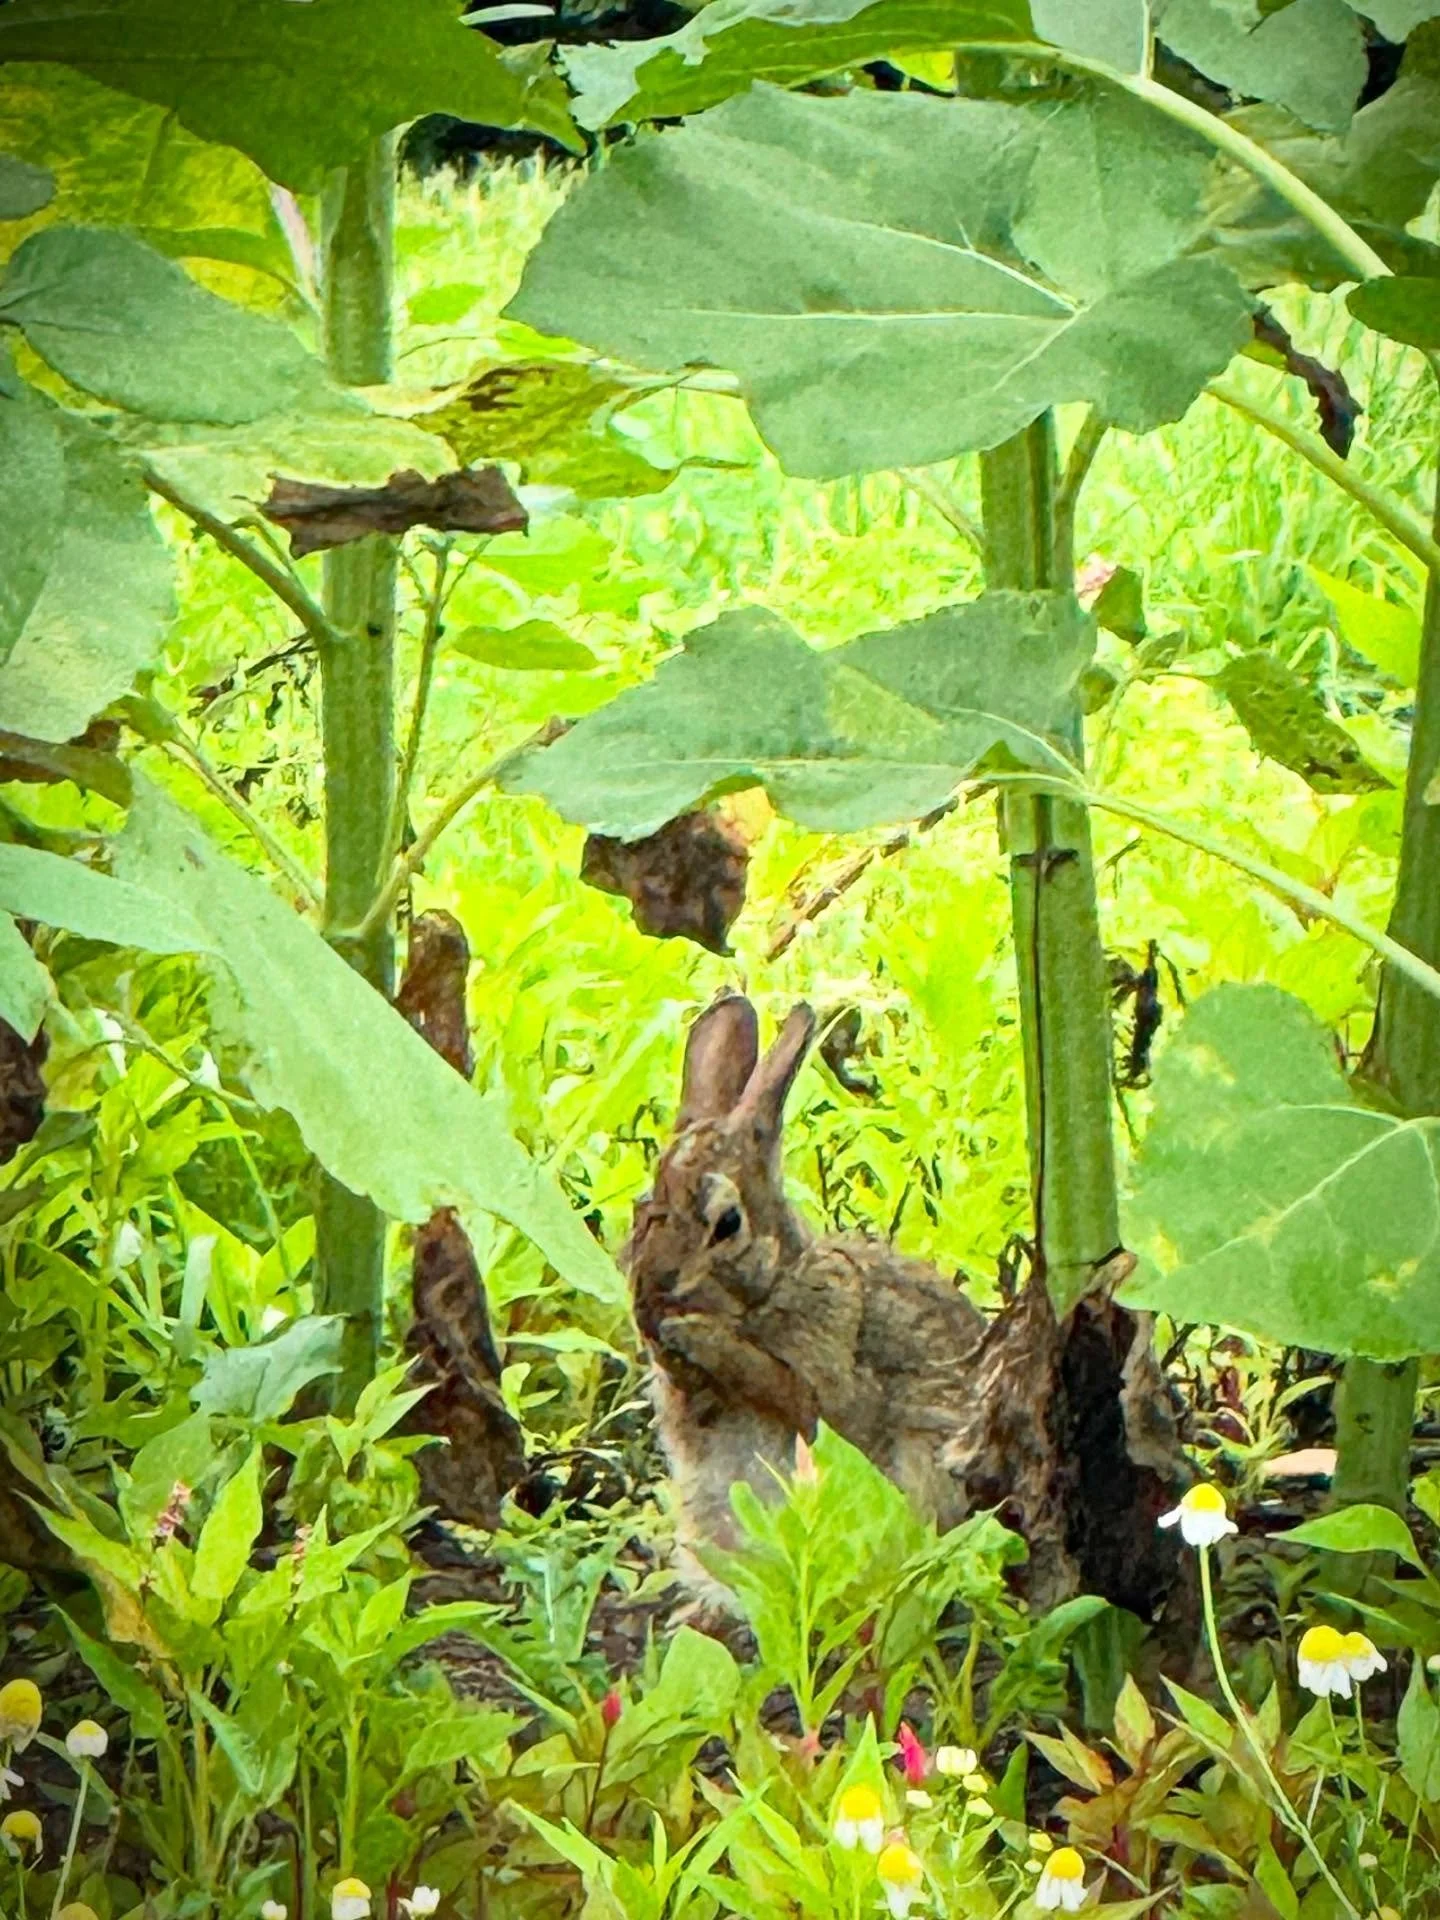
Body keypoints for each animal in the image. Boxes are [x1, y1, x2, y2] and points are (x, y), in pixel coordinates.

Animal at [624, 992, 990, 1580]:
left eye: (727, 1224)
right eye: (641, 1213)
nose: (650, 1308)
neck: (777, 1282)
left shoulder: (829, 1363)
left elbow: (798, 1394)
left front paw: (698, 1338)